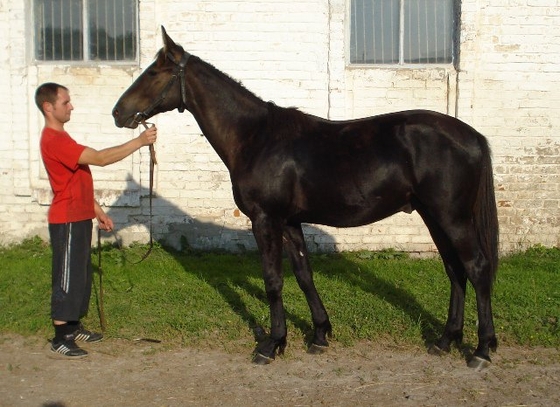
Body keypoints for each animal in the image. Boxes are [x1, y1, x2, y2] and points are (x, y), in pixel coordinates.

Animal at [112, 26, 498, 370]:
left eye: (154, 73)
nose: (118, 113)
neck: (255, 138)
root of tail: (473, 136)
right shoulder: (290, 222)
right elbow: (303, 274)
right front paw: (320, 334)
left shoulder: (265, 220)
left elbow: (273, 280)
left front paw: (272, 344)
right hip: (433, 217)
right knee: (455, 271)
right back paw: (445, 341)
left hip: (452, 218)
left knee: (476, 268)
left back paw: (481, 350)